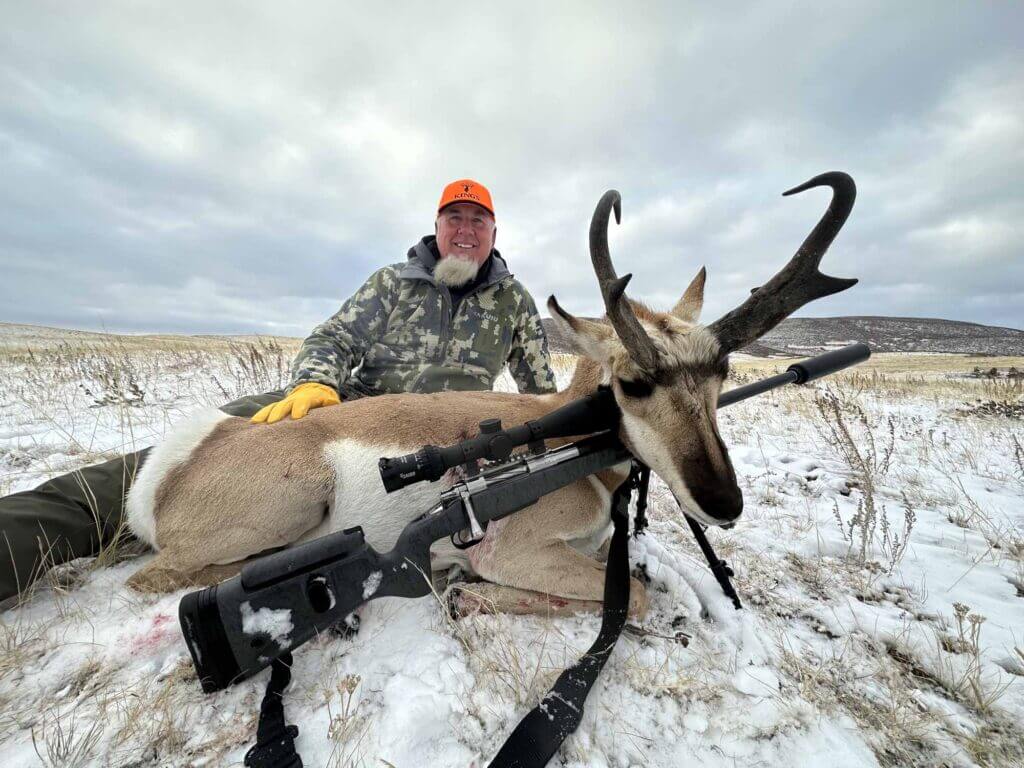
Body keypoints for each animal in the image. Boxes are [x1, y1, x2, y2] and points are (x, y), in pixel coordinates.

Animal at [125, 172, 856, 620]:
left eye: (722, 373)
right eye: (632, 383)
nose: (723, 503)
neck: (565, 434)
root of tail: (183, 457)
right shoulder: (517, 552)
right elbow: (636, 599)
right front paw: (467, 593)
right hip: (295, 498)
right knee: (157, 577)